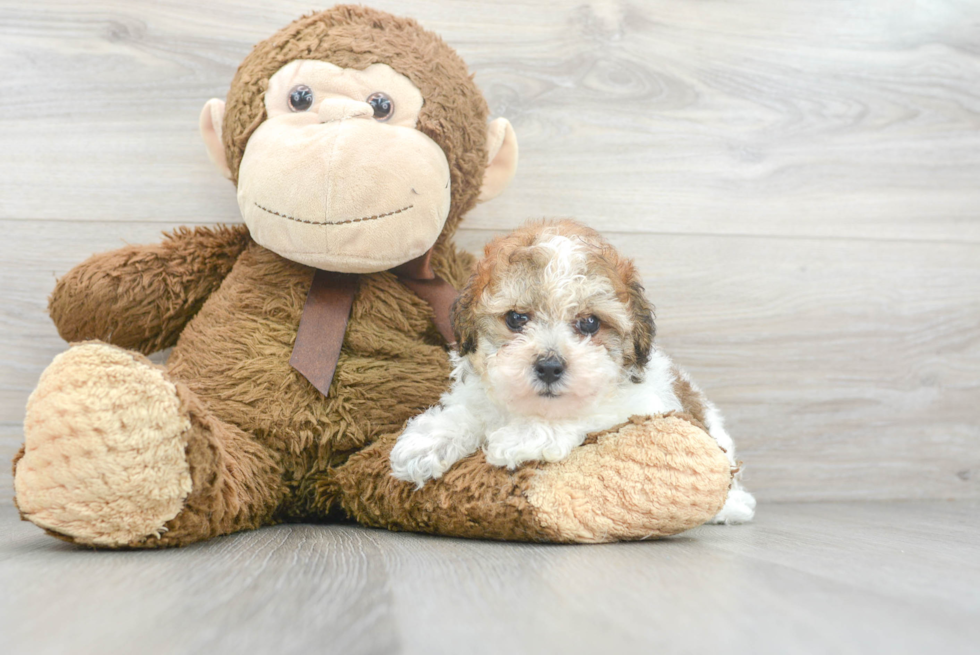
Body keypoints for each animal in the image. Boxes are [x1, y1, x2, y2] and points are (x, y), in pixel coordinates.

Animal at [386, 220, 756, 524]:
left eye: (589, 323)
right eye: (516, 318)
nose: (549, 367)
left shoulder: (640, 405)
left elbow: (586, 413)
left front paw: (521, 438)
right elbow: (470, 412)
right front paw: (428, 441)